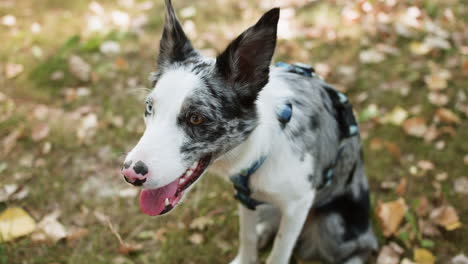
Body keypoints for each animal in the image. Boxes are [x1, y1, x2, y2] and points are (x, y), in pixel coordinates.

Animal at [120, 1, 376, 262]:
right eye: (149, 108)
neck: (267, 144)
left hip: (334, 226)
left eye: (196, 118)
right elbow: (248, 235)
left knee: (364, 248)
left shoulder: (298, 205)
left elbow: (279, 252)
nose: (130, 174)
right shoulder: (246, 197)